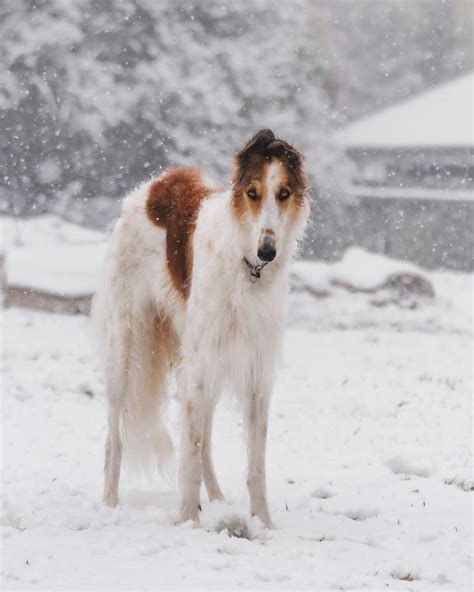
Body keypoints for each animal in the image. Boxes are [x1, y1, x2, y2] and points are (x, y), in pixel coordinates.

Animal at [94, 130, 310, 528]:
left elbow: (254, 462)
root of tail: (157, 183)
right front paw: (185, 522)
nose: (267, 251)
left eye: (284, 193)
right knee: (115, 436)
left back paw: (217, 498)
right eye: (252, 192)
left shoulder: (256, 369)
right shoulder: (199, 365)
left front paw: (263, 523)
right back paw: (110, 503)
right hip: (126, 350)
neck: (246, 269)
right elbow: (190, 451)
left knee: (205, 440)